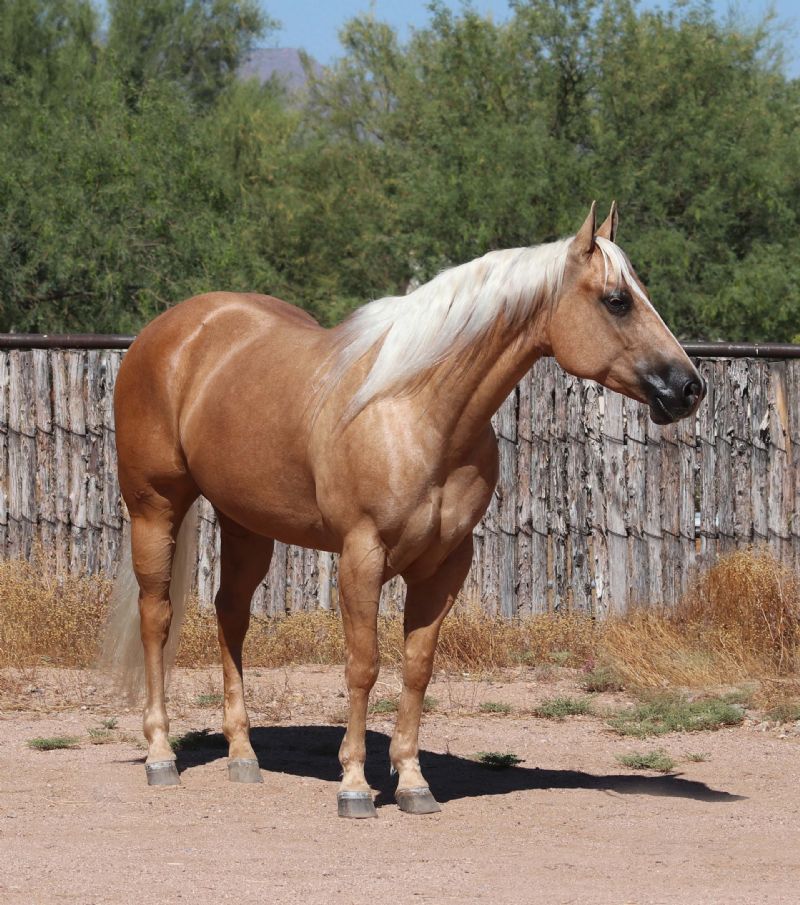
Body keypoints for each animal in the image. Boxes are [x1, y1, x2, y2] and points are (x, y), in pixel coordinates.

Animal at [103, 202, 705, 818]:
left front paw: (413, 783)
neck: (416, 410)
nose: (689, 387)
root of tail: (171, 331)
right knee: (157, 618)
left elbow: (417, 668)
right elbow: (363, 666)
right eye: (617, 300)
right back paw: (160, 756)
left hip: (246, 524)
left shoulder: (444, 566)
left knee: (231, 615)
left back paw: (243, 756)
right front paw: (353, 785)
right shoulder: (361, 556)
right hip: (155, 507)